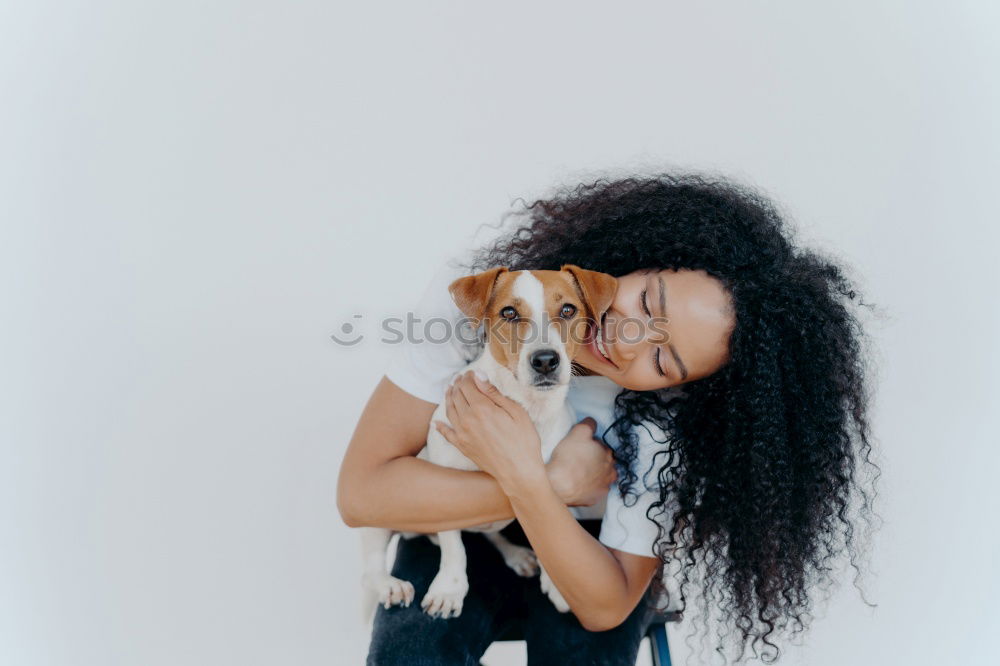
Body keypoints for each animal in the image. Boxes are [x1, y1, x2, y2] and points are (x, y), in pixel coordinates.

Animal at [360, 264, 616, 616]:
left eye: (567, 310)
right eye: (509, 313)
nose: (545, 360)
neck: (529, 408)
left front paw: (557, 583)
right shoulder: (442, 483)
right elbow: (454, 545)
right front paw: (450, 588)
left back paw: (515, 554)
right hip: (379, 513)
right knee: (371, 563)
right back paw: (389, 585)